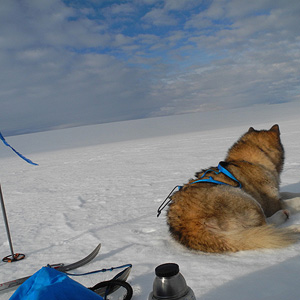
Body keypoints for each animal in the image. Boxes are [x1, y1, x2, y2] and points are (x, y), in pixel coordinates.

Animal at [166, 124, 300, 253]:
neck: (247, 161)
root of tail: (188, 228)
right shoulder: (273, 204)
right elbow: (294, 201)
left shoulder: (276, 195)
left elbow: (289, 193)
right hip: (245, 199)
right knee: (266, 225)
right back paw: (291, 225)